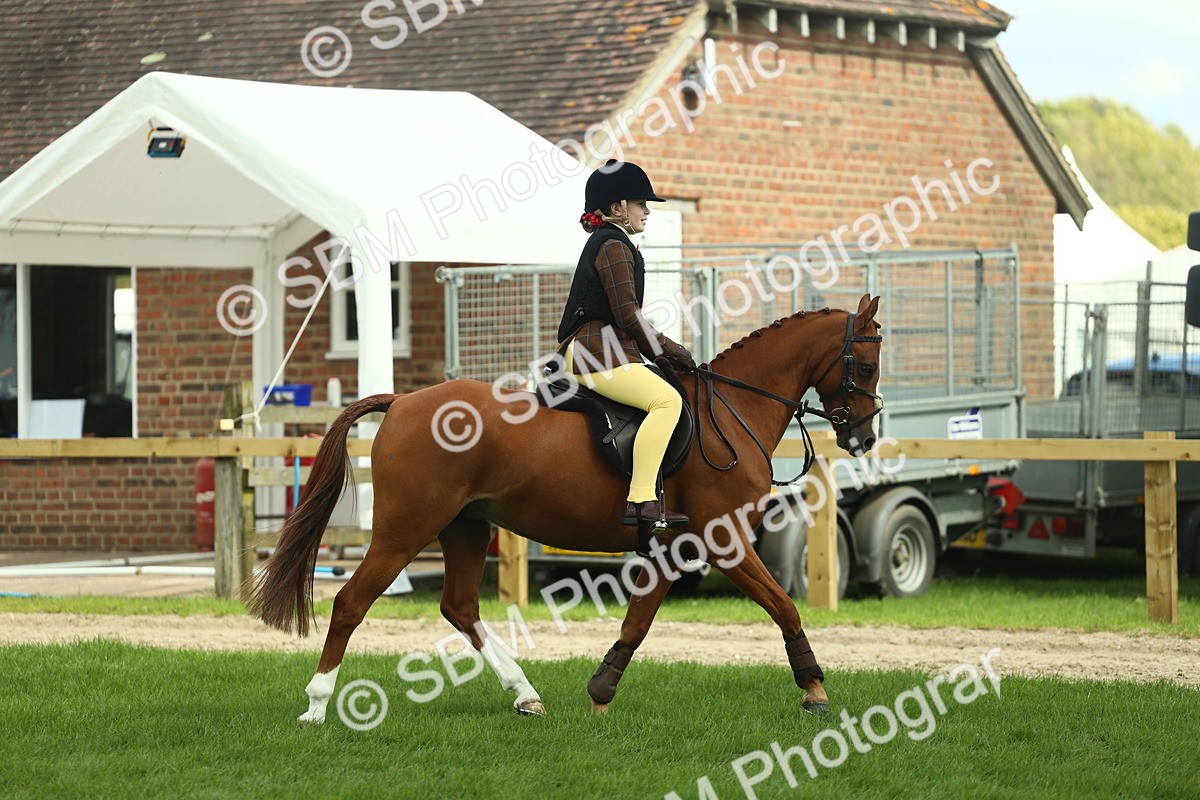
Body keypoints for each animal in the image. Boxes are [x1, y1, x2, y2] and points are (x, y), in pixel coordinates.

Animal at [248, 293, 884, 722]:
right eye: (867, 364)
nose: (864, 436)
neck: (732, 410)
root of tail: (403, 401)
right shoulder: (720, 540)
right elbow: (783, 605)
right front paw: (815, 689)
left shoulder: (673, 545)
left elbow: (639, 618)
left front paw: (601, 690)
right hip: (405, 531)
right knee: (351, 603)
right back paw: (317, 706)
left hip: (463, 527)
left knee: (460, 608)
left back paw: (526, 694)